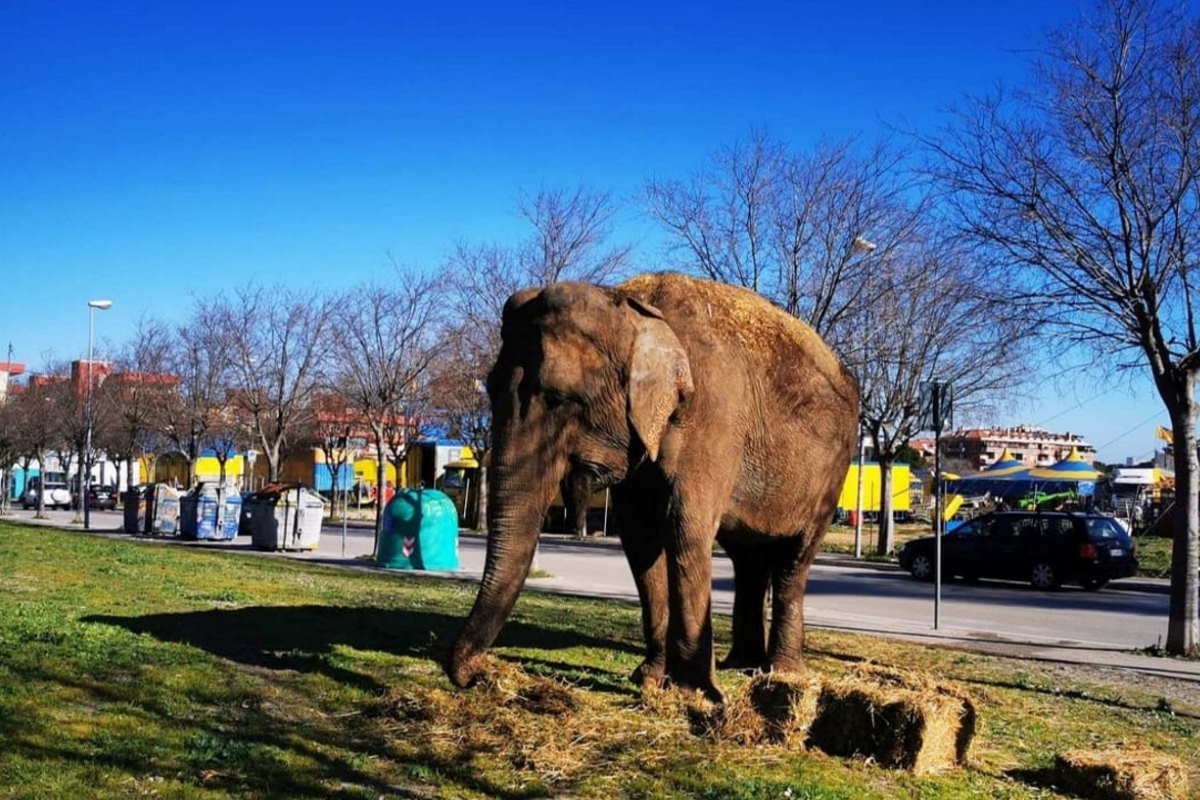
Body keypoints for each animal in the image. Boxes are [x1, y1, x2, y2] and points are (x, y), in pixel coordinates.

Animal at [446, 272, 859, 701]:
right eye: (490, 388)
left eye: (559, 398)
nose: (474, 676)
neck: (631, 304)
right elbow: (640, 537)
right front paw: (650, 681)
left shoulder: (712, 416)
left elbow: (685, 527)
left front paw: (697, 694)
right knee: (748, 558)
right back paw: (742, 666)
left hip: (832, 471)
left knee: (794, 559)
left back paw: (783, 675)